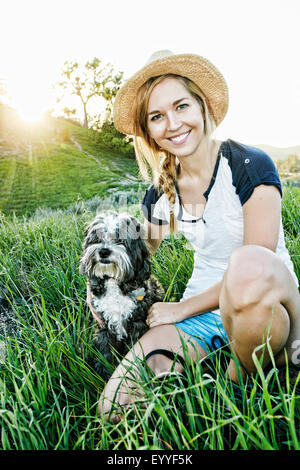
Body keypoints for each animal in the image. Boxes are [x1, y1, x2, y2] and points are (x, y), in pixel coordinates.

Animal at [79, 211, 164, 380]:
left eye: (120, 240)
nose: (103, 251)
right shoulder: (104, 324)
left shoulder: (138, 324)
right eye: (97, 238)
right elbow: (105, 348)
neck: (114, 281)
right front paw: (104, 369)